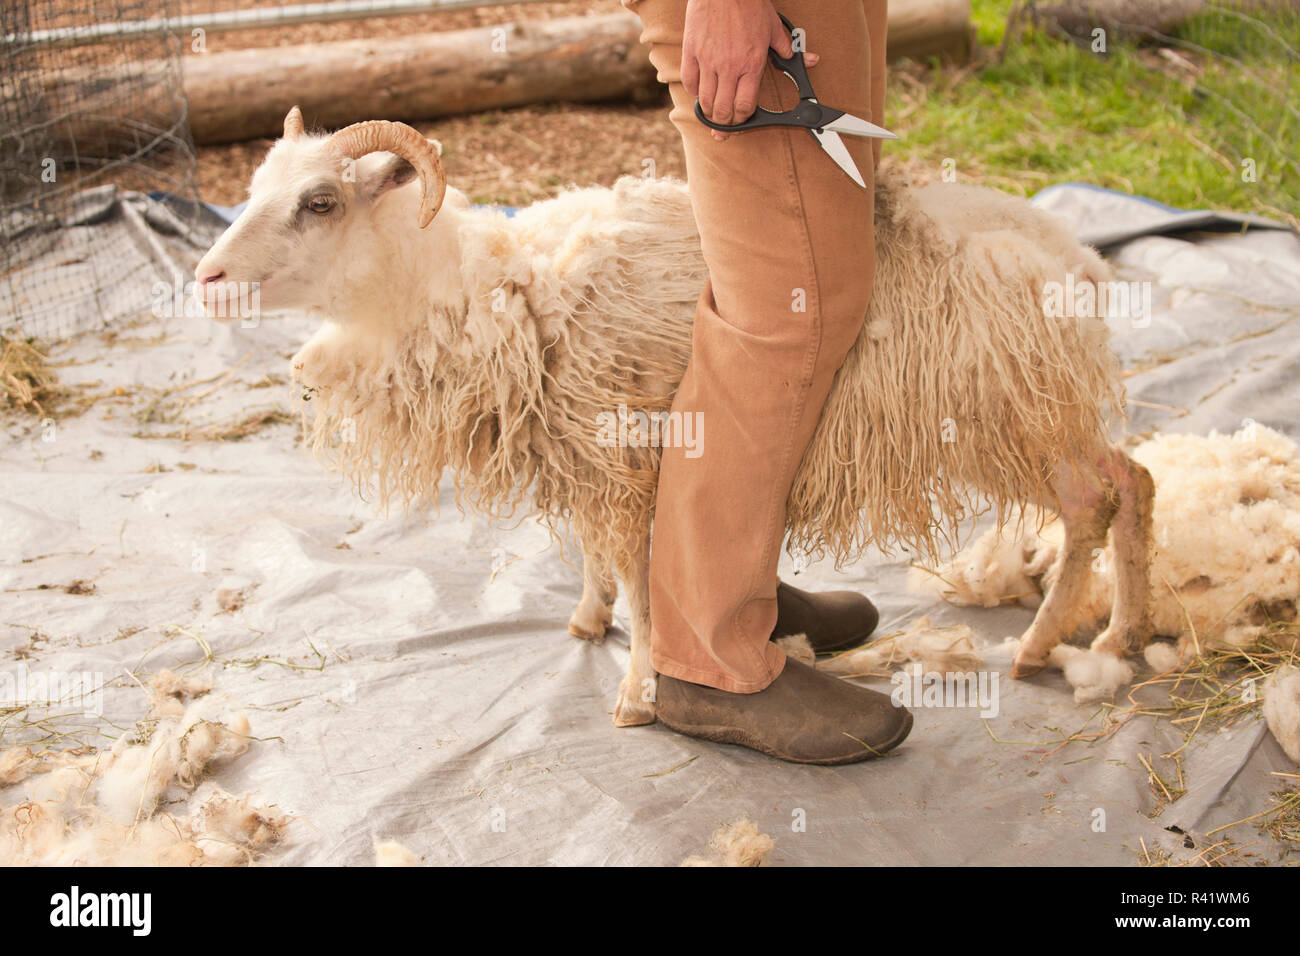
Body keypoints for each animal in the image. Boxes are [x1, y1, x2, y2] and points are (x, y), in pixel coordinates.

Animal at [195, 108, 1159, 723]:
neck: (488, 287)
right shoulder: (590, 451)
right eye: (254, 186)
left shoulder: (629, 451)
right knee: (1136, 478)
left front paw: (639, 693)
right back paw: (1124, 631)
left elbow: (636, 568)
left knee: (1092, 498)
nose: (206, 280)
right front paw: (587, 621)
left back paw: (1046, 645)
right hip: (1034, 410)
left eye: (321, 201)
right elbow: (596, 550)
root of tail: (1079, 256)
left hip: (1014, 410)